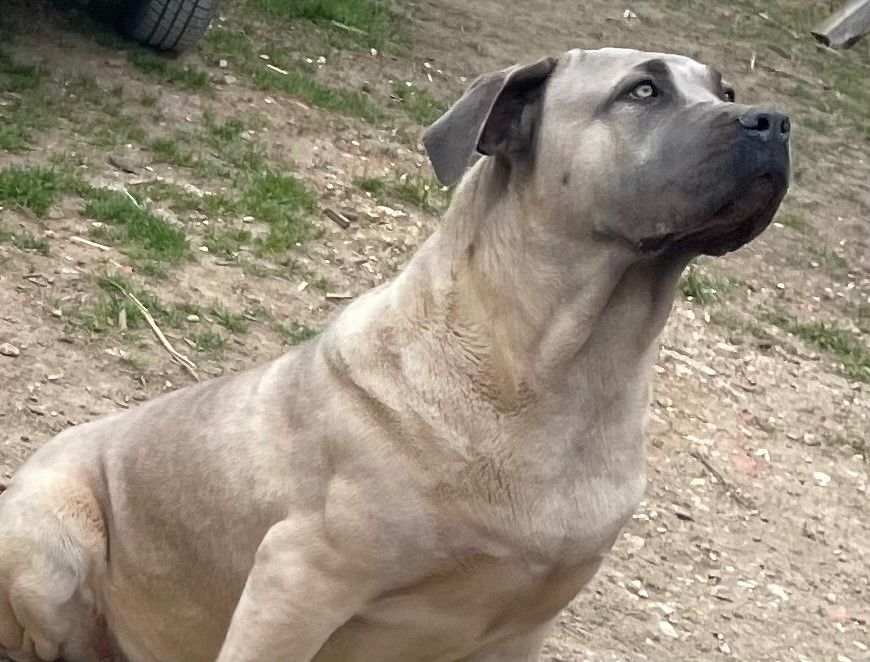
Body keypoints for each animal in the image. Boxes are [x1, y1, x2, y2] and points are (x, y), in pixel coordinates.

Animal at [0, 48, 792, 662]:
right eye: (643, 91)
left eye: (724, 91)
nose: (775, 121)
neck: (560, 371)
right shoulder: (299, 577)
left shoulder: (522, 627)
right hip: (51, 531)